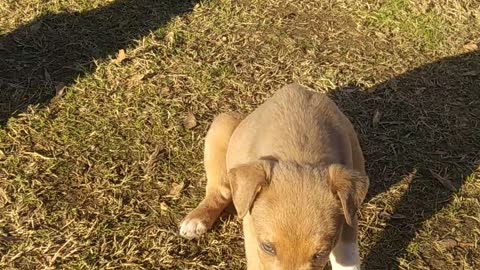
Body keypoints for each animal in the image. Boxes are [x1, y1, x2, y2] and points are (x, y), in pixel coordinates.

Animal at [180, 83, 368, 268]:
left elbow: (348, 260)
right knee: (221, 190)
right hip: (222, 125)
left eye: (321, 253)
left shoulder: (348, 218)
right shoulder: (253, 238)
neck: (299, 153)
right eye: (267, 247)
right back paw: (196, 220)